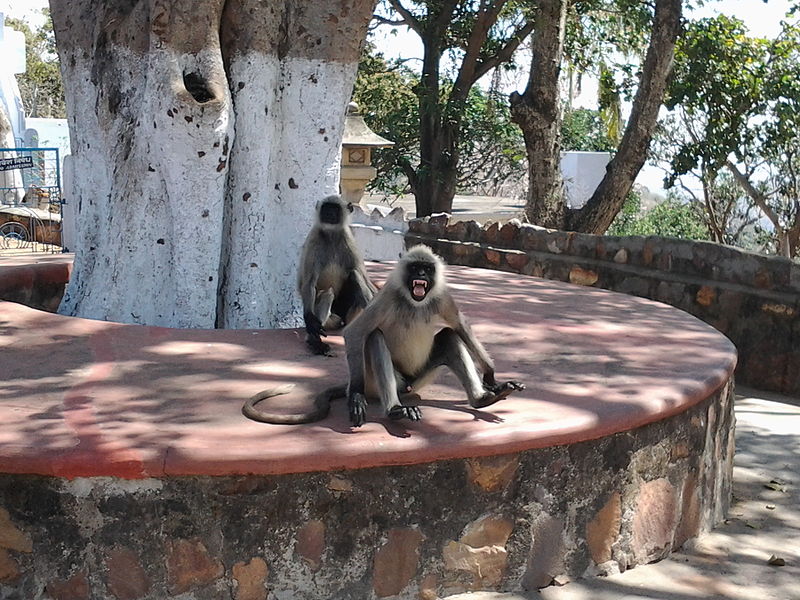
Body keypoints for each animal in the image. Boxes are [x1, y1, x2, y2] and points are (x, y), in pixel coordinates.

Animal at [297, 194, 377, 355]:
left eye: (334, 208)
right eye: (326, 207)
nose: (328, 213)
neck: (331, 235)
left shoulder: (348, 241)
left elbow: (366, 279)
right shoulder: (314, 239)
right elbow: (309, 282)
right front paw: (309, 321)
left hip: (351, 316)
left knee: (355, 274)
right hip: (331, 321)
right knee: (327, 293)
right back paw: (314, 341)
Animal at [343, 244, 525, 427]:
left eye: (428, 269)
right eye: (415, 267)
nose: (421, 275)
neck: (415, 303)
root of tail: (408, 384)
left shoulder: (442, 296)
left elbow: (459, 326)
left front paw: (490, 377)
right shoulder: (389, 295)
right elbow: (354, 332)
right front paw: (356, 395)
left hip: (420, 378)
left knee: (449, 335)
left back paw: (481, 399)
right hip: (383, 380)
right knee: (375, 336)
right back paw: (395, 410)